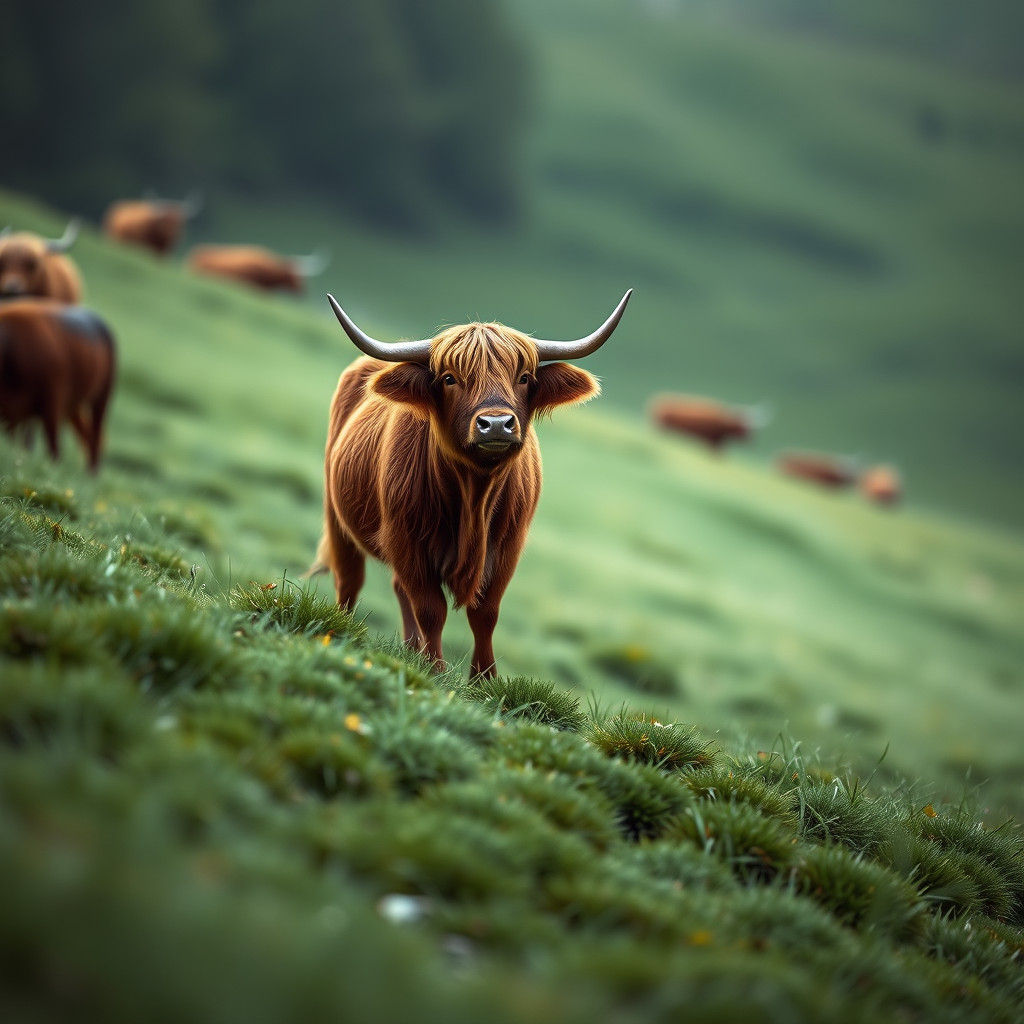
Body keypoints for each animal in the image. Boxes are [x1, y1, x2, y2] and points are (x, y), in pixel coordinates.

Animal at [0, 300, 116, 471]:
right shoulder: (16, 415)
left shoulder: (52, 404)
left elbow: (53, 448)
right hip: (73, 404)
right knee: (86, 433)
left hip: (101, 397)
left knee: (95, 434)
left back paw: (91, 472)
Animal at [311, 290, 632, 678]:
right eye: (450, 379)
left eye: (524, 377)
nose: (496, 424)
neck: (474, 492)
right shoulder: (407, 540)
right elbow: (431, 609)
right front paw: (434, 668)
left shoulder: (507, 547)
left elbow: (485, 613)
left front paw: (483, 678)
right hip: (338, 516)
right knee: (350, 579)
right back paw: (341, 629)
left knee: (398, 589)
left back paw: (410, 648)